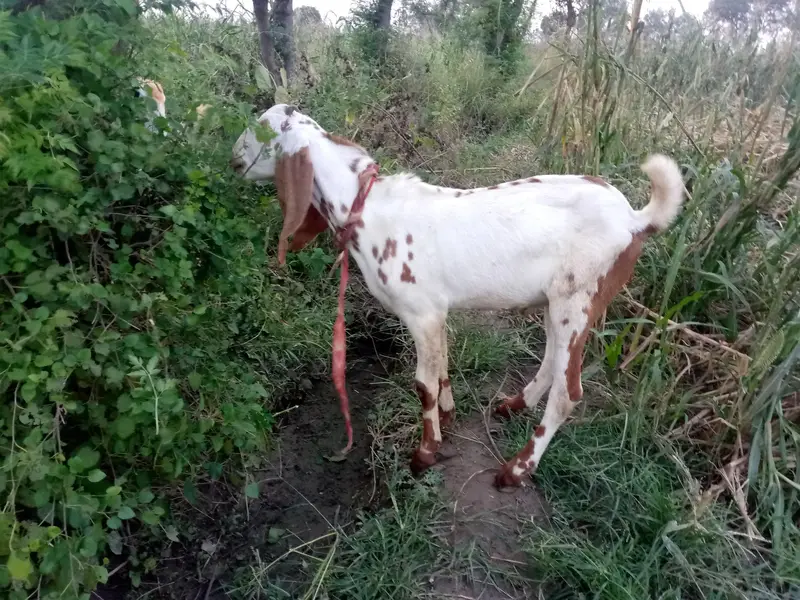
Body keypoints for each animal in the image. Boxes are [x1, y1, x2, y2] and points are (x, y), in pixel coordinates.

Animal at [230, 104, 685, 488]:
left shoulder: (421, 312)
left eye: (259, 130)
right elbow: (443, 366)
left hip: (580, 297)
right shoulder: (436, 313)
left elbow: (423, 384)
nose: (232, 157)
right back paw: (515, 404)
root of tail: (634, 219)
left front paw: (424, 454)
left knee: (568, 393)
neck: (367, 211)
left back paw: (517, 469)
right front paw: (448, 418)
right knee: (553, 359)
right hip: (559, 300)